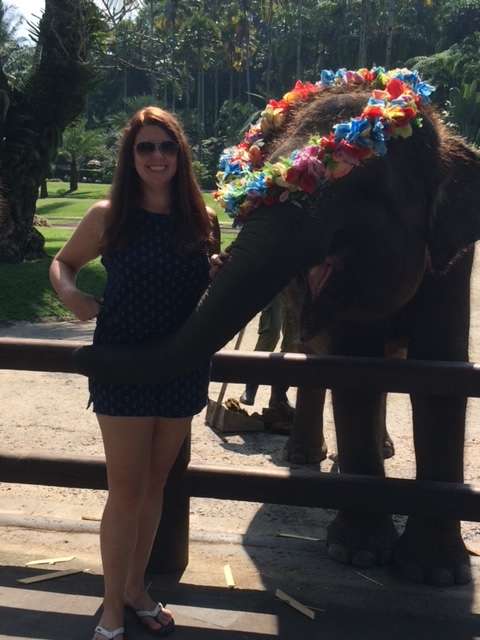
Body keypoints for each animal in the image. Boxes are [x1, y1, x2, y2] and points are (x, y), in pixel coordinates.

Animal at [75, 84, 480, 584]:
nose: (84, 352)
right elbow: (356, 375)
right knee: (313, 357)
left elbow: (443, 375)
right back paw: (305, 457)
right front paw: (360, 556)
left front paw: (434, 574)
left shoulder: (457, 264)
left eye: (364, 187)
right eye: (267, 170)